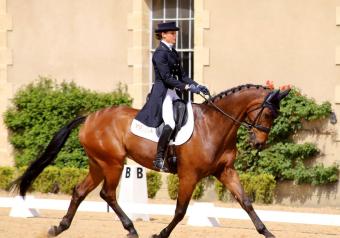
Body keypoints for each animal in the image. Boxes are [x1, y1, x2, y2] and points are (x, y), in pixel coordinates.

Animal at [13, 83, 290, 238]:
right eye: (268, 113)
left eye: (275, 115)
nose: (258, 143)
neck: (214, 125)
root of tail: (90, 117)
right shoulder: (189, 175)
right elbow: (180, 211)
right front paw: (160, 234)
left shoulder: (226, 171)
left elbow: (246, 202)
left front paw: (267, 232)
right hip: (113, 164)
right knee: (107, 194)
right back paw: (131, 229)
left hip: (98, 164)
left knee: (80, 192)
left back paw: (59, 227)